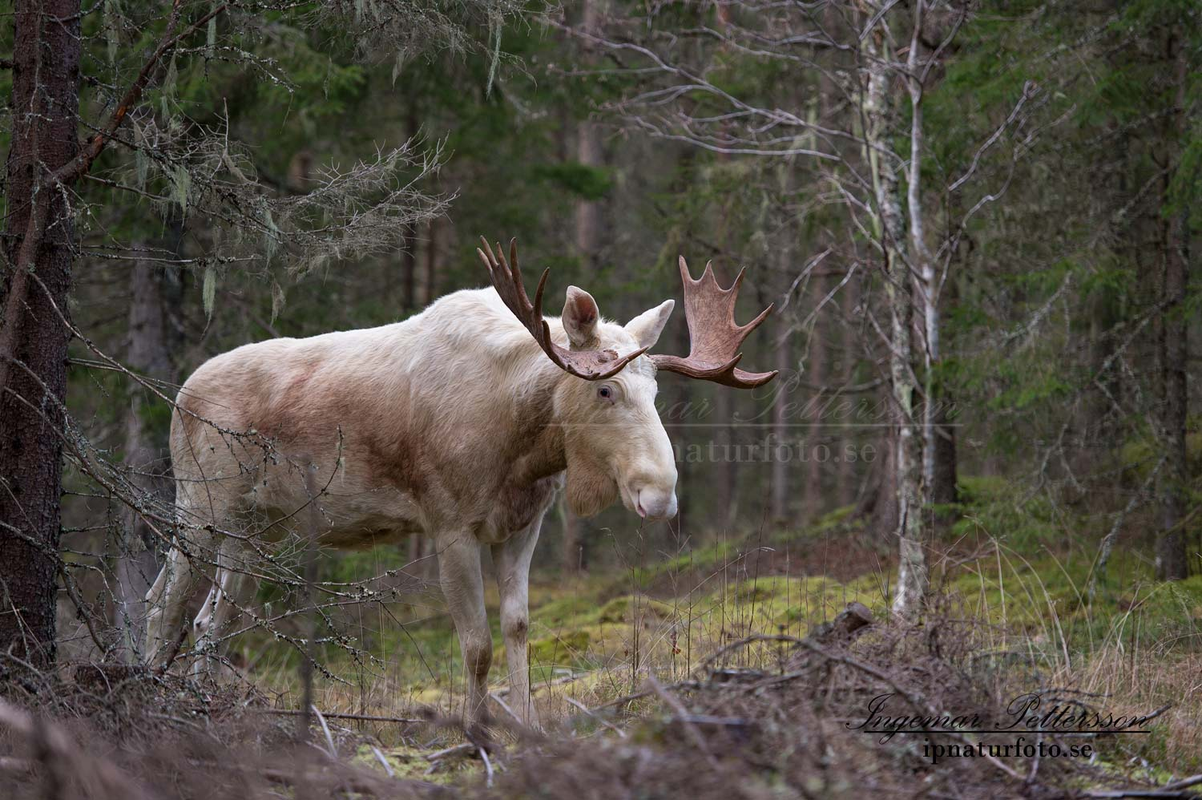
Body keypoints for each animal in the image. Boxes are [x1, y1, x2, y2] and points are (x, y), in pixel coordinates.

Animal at [143, 236, 778, 730]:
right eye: (605, 388)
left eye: (654, 390)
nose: (660, 493)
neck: (523, 451)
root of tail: (179, 396)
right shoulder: (449, 525)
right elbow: (476, 646)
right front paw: (477, 732)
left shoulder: (523, 527)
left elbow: (518, 628)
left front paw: (527, 726)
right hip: (200, 507)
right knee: (161, 604)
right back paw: (152, 696)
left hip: (258, 532)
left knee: (209, 620)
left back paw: (202, 703)